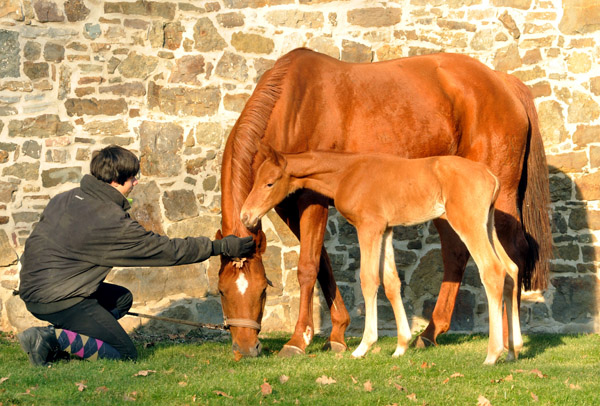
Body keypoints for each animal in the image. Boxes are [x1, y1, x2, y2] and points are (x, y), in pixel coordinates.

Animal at [241, 144, 524, 364]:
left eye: (269, 182)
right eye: (255, 180)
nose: (246, 216)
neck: (347, 173)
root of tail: (491, 175)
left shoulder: (369, 227)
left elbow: (368, 280)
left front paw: (364, 346)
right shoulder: (386, 230)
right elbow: (391, 282)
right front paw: (401, 346)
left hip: (468, 224)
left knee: (493, 271)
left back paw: (493, 354)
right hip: (487, 224)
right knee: (511, 269)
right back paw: (514, 350)